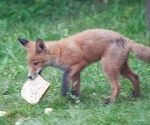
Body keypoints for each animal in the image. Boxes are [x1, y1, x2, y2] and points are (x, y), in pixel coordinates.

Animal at [17, 29, 150, 103]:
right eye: (29, 63)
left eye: (36, 63)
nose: (29, 77)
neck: (59, 52)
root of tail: (126, 39)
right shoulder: (76, 71)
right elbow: (76, 87)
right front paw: (75, 99)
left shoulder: (81, 63)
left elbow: (65, 76)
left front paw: (64, 91)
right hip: (120, 67)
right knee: (135, 76)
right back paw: (135, 95)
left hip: (108, 66)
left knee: (117, 85)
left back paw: (110, 102)